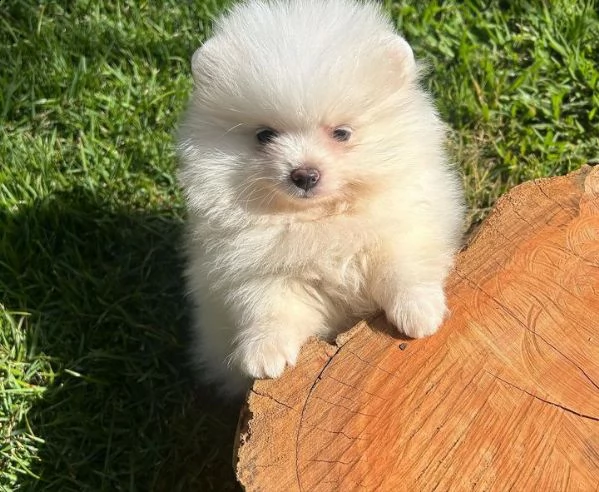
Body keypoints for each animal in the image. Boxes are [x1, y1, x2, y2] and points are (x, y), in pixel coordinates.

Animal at [176, 0, 466, 394]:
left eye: (341, 133)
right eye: (264, 135)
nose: (304, 174)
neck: (321, 217)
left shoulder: (406, 224)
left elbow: (404, 266)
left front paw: (419, 314)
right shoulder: (252, 267)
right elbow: (268, 307)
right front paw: (264, 354)